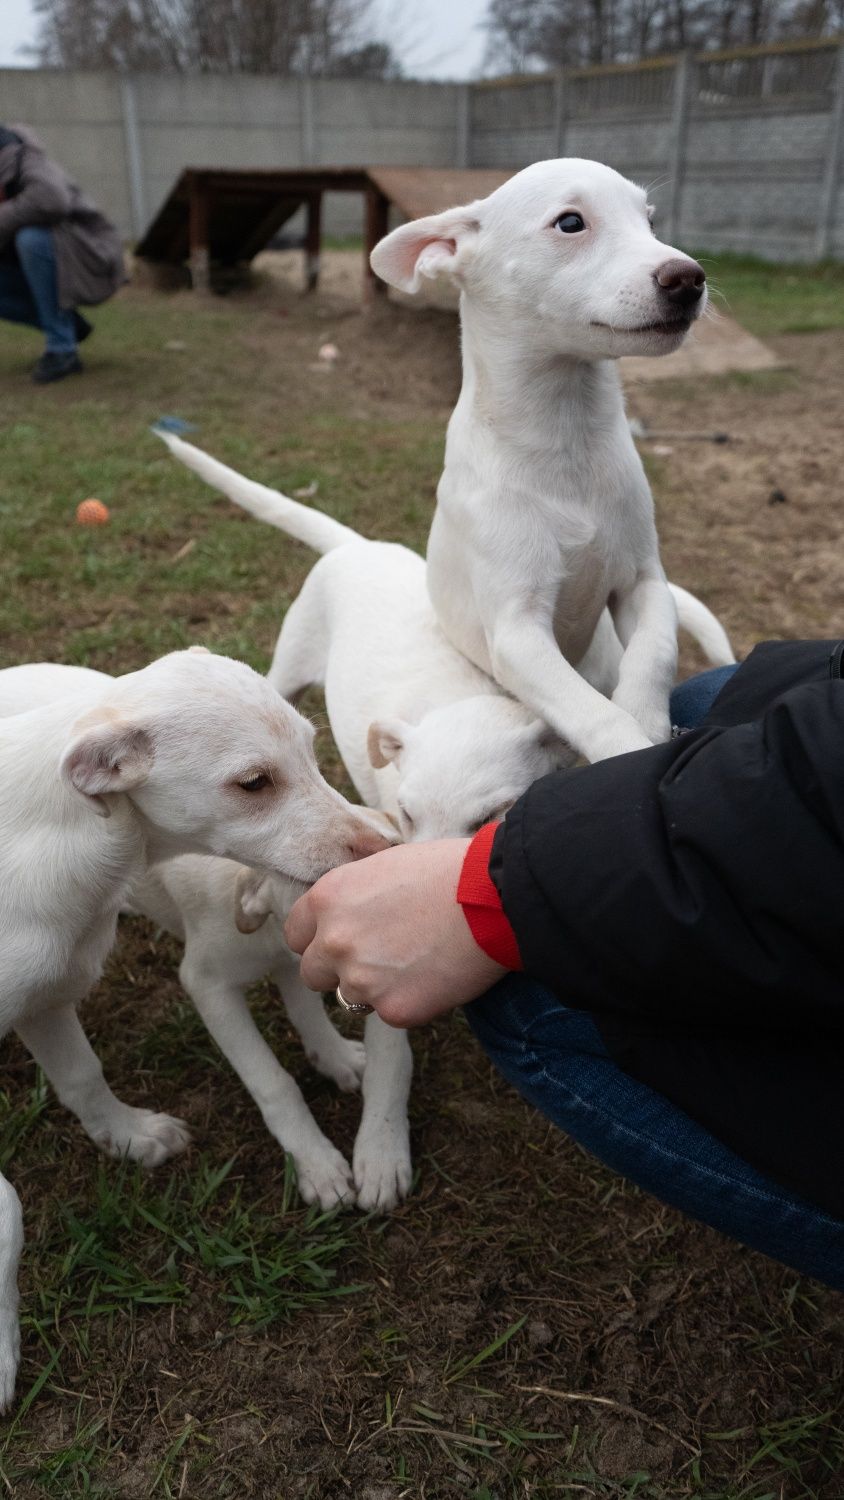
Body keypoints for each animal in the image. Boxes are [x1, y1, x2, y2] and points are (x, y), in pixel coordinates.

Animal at [156, 432, 734, 1218]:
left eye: (489, 818)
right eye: (403, 813)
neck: (460, 697)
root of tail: (359, 545)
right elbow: (388, 1047)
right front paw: (380, 1149)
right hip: (287, 668)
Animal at [373, 155, 710, 762]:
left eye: (649, 220)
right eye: (571, 223)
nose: (689, 278)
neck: (567, 441)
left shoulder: (644, 582)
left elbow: (654, 655)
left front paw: (649, 723)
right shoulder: (517, 632)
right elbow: (595, 715)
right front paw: (629, 752)